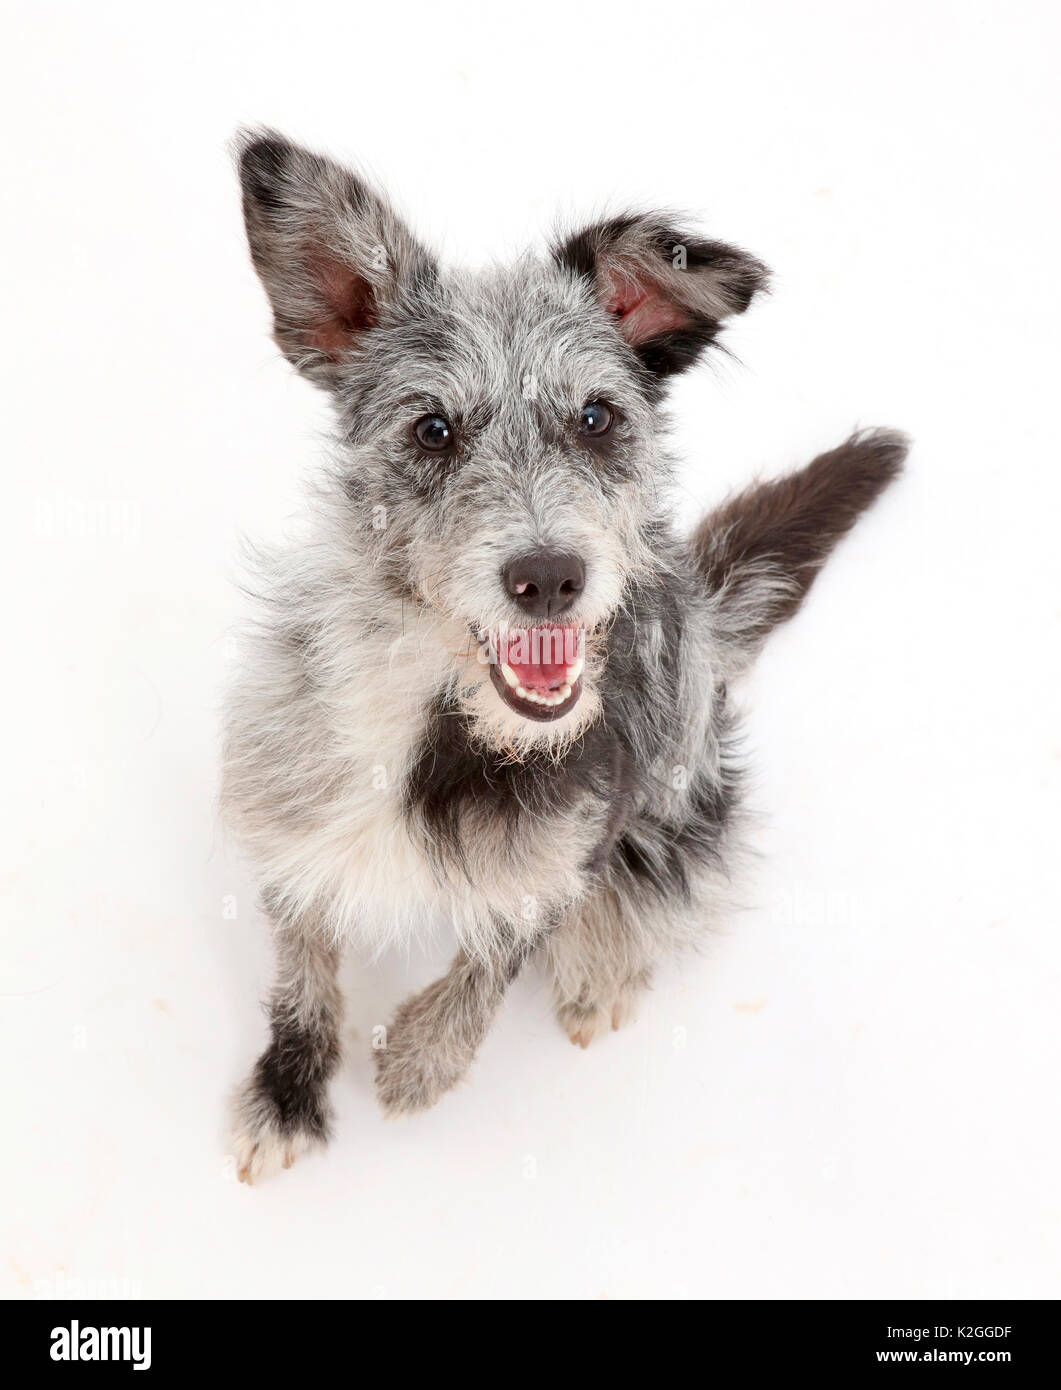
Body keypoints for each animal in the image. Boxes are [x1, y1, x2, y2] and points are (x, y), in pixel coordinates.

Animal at [223, 127, 906, 1184]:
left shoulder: (576, 845)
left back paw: (601, 975)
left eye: (596, 417)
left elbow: (498, 953)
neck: (439, 717)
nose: (547, 577)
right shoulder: (292, 818)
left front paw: (423, 1059)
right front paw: (288, 1093)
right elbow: (304, 968)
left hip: (680, 816)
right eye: (432, 429)